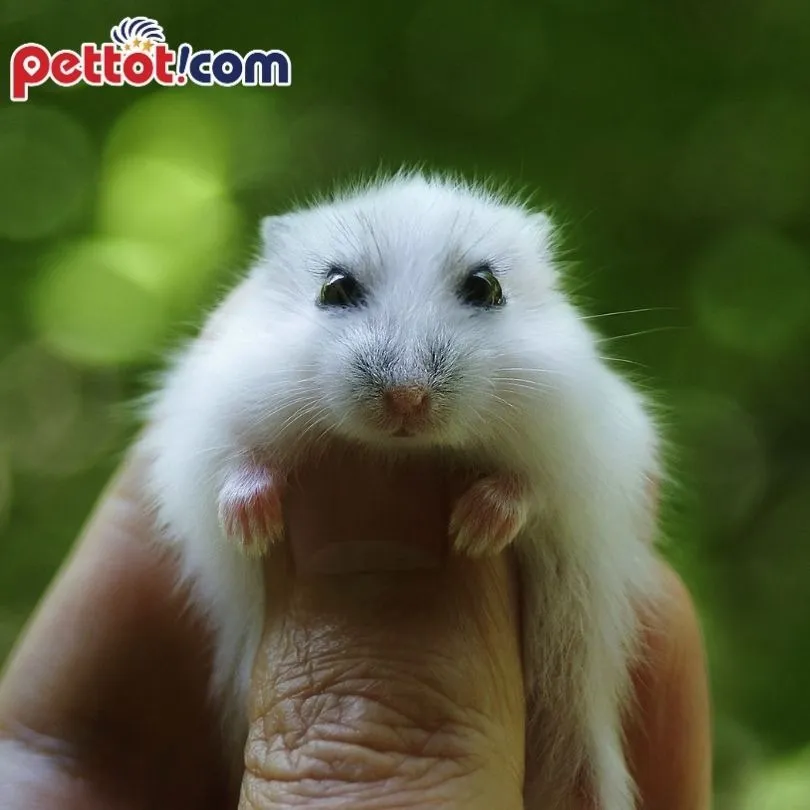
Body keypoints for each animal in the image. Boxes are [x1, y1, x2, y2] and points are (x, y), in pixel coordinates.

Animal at [139, 171, 662, 810]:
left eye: (486, 286)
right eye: (334, 288)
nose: (407, 400)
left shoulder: (584, 451)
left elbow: (527, 487)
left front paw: (472, 533)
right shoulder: (202, 429)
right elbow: (235, 465)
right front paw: (255, 529)